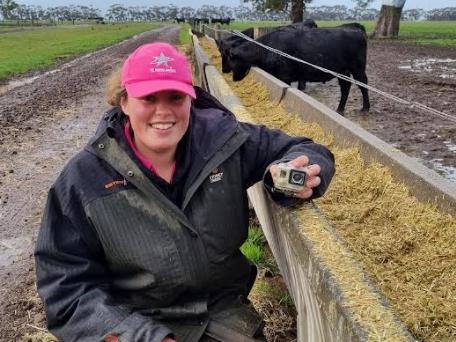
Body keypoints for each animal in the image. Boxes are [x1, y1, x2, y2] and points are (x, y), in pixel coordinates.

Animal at [226, 24, 368, 115]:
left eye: (232, 60)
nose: (233, 78)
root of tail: (355, 29)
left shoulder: (284, 76)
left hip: (358, 68)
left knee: (363, 84)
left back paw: (365, 108)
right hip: (343, 71)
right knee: (345, 87)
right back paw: (339, 109)